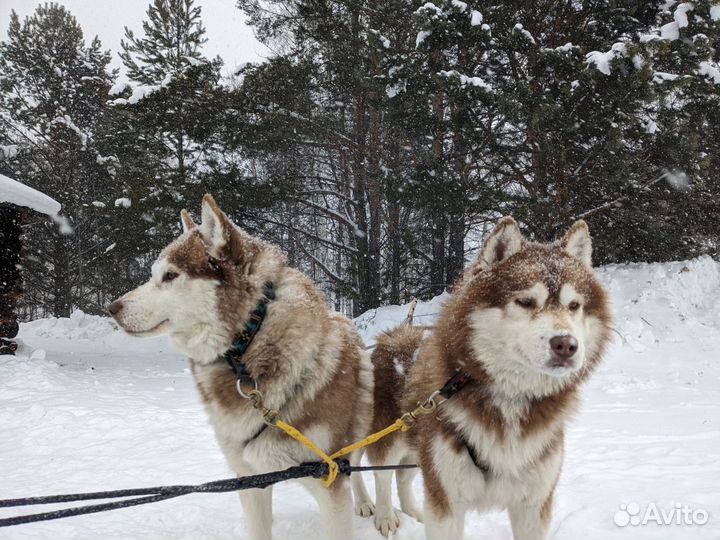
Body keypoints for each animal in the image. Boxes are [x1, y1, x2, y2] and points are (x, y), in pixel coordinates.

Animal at [111, 195, 376, 540]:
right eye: (154, 274)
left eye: (170, 276)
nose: (111, 308)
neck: (249, 339)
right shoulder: (250, 479)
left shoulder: (328, 481)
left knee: (356, 468)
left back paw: (369, 504)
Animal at [368, 218, 612, 540]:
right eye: (525, 301)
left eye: (574, 305)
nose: (566, 345)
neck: (511, 399)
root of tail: (399, 332)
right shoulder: (446, 499)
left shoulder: (534, 504)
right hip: (391, 437)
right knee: (380, 475)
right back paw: (384, 517)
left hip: (417, 448)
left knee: (402, 476)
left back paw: (411, 511)